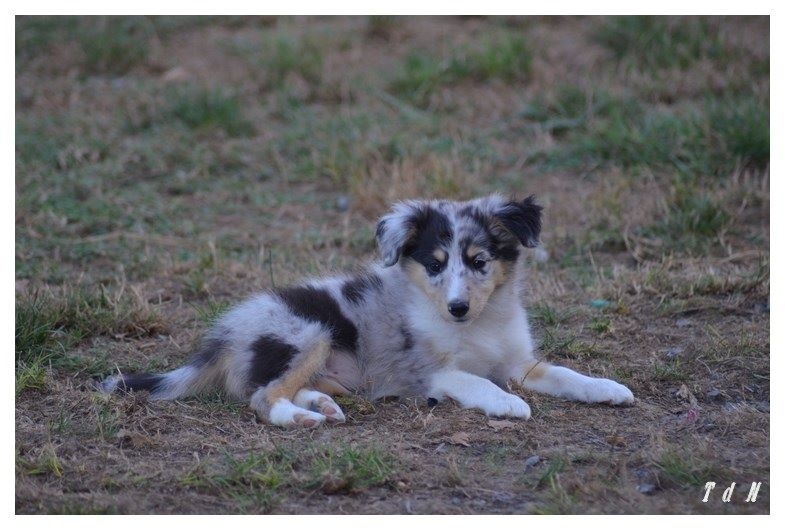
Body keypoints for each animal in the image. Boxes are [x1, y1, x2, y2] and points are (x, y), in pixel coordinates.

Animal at [99, 194, 634, 427]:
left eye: (479, 262)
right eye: (435, 264)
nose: (458, 308)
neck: (478, 325)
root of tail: (226, 336)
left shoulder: (520, 363)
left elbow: (565, 373)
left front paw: (607, 389)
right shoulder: (432, 372)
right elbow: (477, 382)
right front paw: (508, 404)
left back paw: (323, 404)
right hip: (311, 331)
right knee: (262, 397)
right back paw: (302, 418)